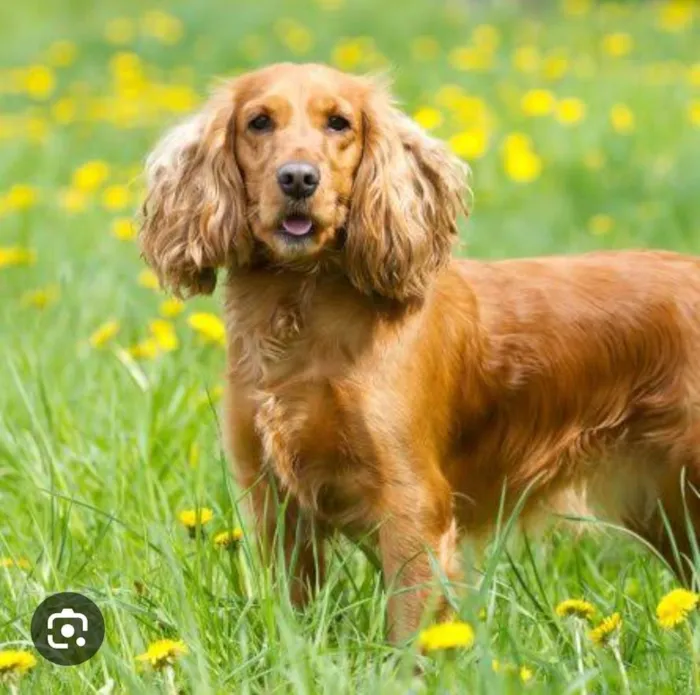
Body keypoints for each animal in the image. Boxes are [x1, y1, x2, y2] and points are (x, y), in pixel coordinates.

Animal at [139, 61, 700, 640]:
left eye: (339, 122)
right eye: (258, 122)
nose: (297, 178)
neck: (303, 312)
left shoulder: (412, 502)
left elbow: (410, 628)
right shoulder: (276, 501)